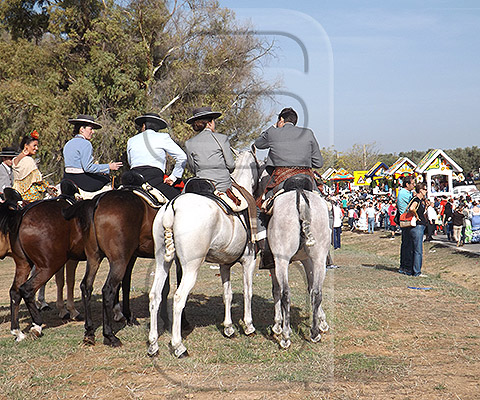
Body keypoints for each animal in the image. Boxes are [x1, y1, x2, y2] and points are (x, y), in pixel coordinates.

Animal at [62, 188, 183, 346]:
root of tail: (97, 201)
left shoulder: (135, 257)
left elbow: (129, 284)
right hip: (118, 261)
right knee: (108, 289)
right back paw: (109, 335)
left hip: (95, 258)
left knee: (86, 286)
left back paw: (89, 332)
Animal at [148, 150, 258, 356]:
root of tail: (172, 207)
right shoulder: (249, 262)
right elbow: (248, 292)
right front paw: (248, 326)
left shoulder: (224, 265)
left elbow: (227, 294)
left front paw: (228, 327)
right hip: (191, 268)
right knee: (178, 298)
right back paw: (178, 346)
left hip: (162, 263)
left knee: (155, 296)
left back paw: (153, 344)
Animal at [266, 183, 330, 348]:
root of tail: (300, 195)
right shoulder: (308, 260)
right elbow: (311, 288)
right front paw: (321, 322)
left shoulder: (274, 263)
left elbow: (276, 290)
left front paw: (278, 325)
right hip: (319, 258)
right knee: (317, 292)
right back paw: (314, 333)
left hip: (281, 260)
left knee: (285, 293)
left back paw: (285, 336)